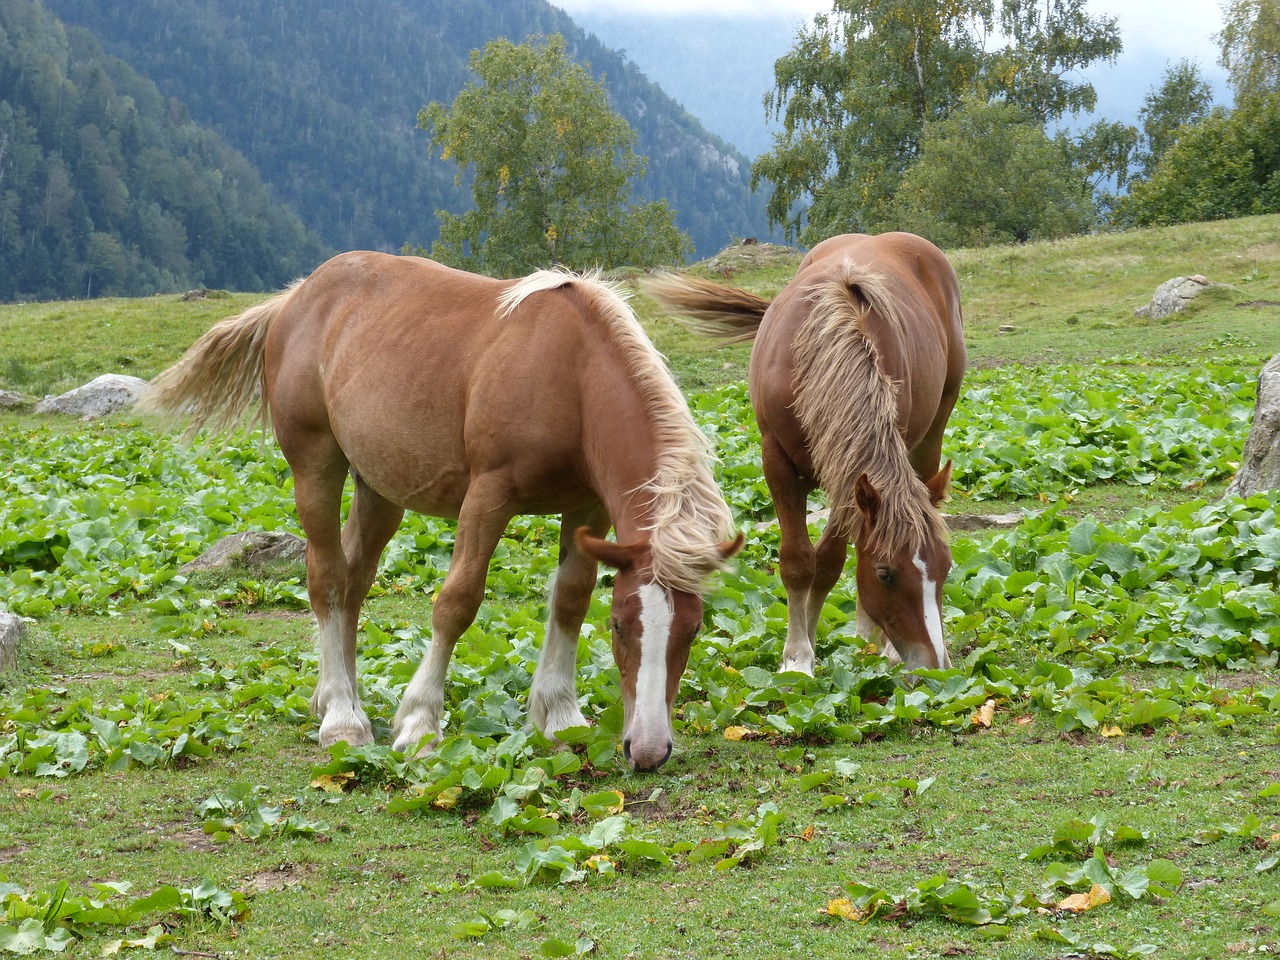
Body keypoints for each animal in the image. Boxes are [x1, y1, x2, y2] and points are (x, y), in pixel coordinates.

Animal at [140, 249, 742, 773]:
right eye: (619, 626)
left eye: (693, 629)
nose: (648, 749)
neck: (570, 375)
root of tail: (297, 296)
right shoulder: (488, 498)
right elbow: (456, 603)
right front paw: (420, 723)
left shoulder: (587, 508)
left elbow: (570, 600)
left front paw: (559, 717)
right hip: (316, 466)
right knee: (326, 578)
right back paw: (342, 718)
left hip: (379, 490)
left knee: (353, 584)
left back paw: (337, 698)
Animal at [645, 235, 962, 675]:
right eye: (885, 574)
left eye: (946, 567)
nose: (935, 667)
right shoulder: (776, 461)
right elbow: (798, 562)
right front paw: (798, 656)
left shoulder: (848, 476)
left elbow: (828, 562)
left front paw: (811, 646)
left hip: (931, 434)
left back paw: (876, 641)